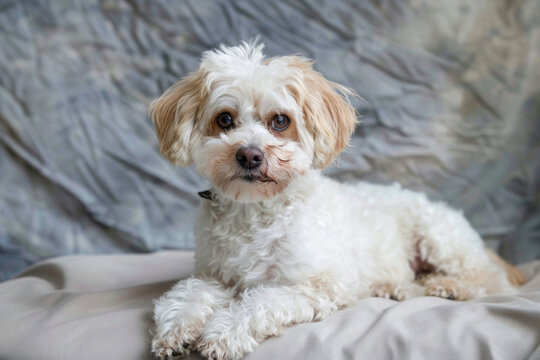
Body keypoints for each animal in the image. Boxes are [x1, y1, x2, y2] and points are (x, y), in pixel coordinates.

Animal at [149, 42, 528, 360]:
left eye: (280, 121)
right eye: (224, 119)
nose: (249, 155)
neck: (256, 210)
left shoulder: (319, 285)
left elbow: (260, 301)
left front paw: (223, 332)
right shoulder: (214, 274)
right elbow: (188, 292)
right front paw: (175, 328)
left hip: (439, 236)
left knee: (487, 278)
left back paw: (446, 286)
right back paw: (397, 288)